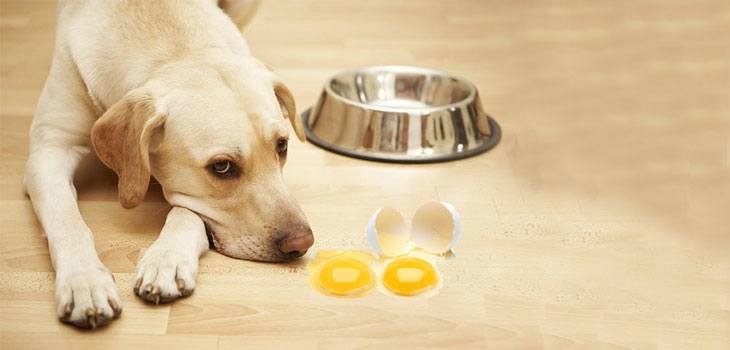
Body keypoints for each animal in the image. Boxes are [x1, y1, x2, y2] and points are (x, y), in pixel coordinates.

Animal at [22, 0, 312, 328]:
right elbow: (67, 220)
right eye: (222, 167)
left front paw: (167, 259)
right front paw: (84, 281)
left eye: (282, 146)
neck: (175, 48)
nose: (303, 243)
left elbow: (186, 212)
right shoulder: (49, 151)